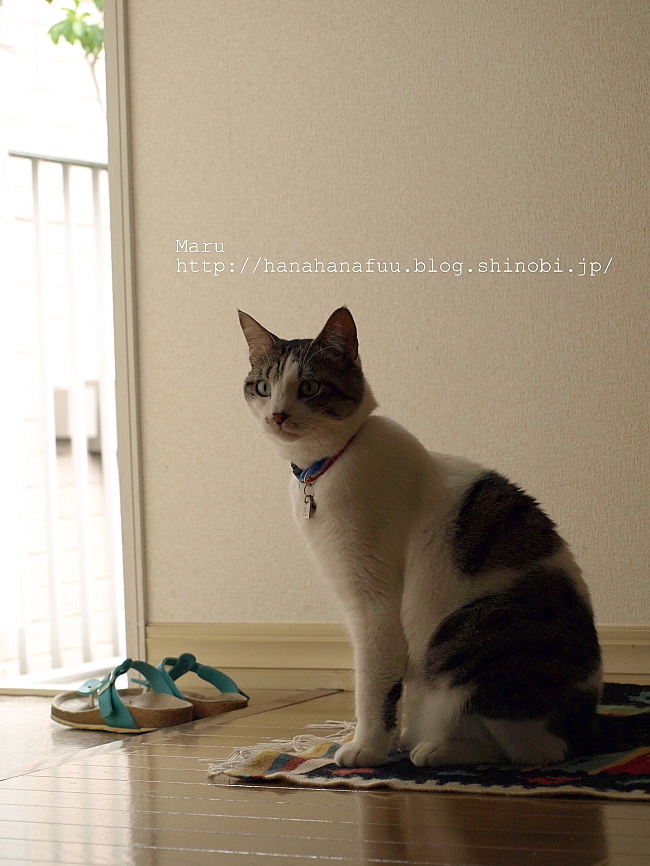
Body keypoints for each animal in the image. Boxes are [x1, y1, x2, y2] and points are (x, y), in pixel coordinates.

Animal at [238, 306, 602, 768]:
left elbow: (374, 683)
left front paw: (367, 747)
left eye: (309, 386)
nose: (278, 416)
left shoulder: (374, 602)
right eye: (264, 387)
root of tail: (584, 731)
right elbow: (396, 687)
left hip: (462, 643)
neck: (329, 463)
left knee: (528, 750)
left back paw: (436, 749)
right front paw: (391, 739)